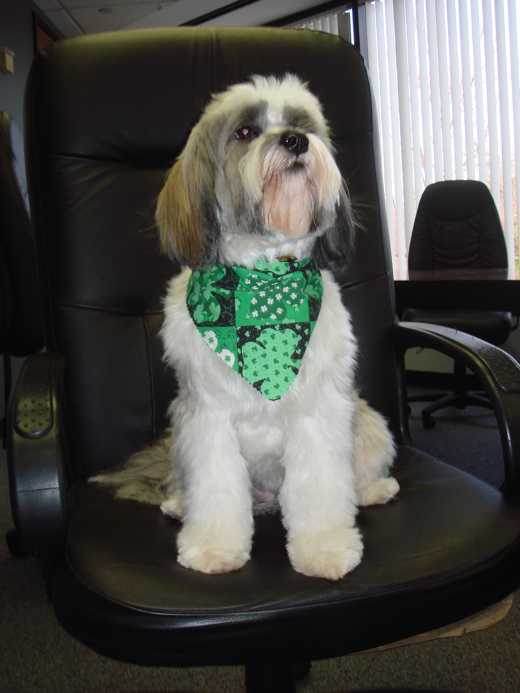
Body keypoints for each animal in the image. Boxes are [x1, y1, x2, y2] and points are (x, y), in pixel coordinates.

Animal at [90, 74, 398, 580]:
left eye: (300, 124)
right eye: (246, 132)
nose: (294, 141)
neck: (263, 284)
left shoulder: (320, 413)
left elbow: (321, 488)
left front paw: (325, 548)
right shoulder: (206, 417)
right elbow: (215, 489)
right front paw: (213, 548)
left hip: (367, 422)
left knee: (358, 473)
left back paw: (373, 490)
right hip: (180, 435)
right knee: (191, 484)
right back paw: (179, 502)